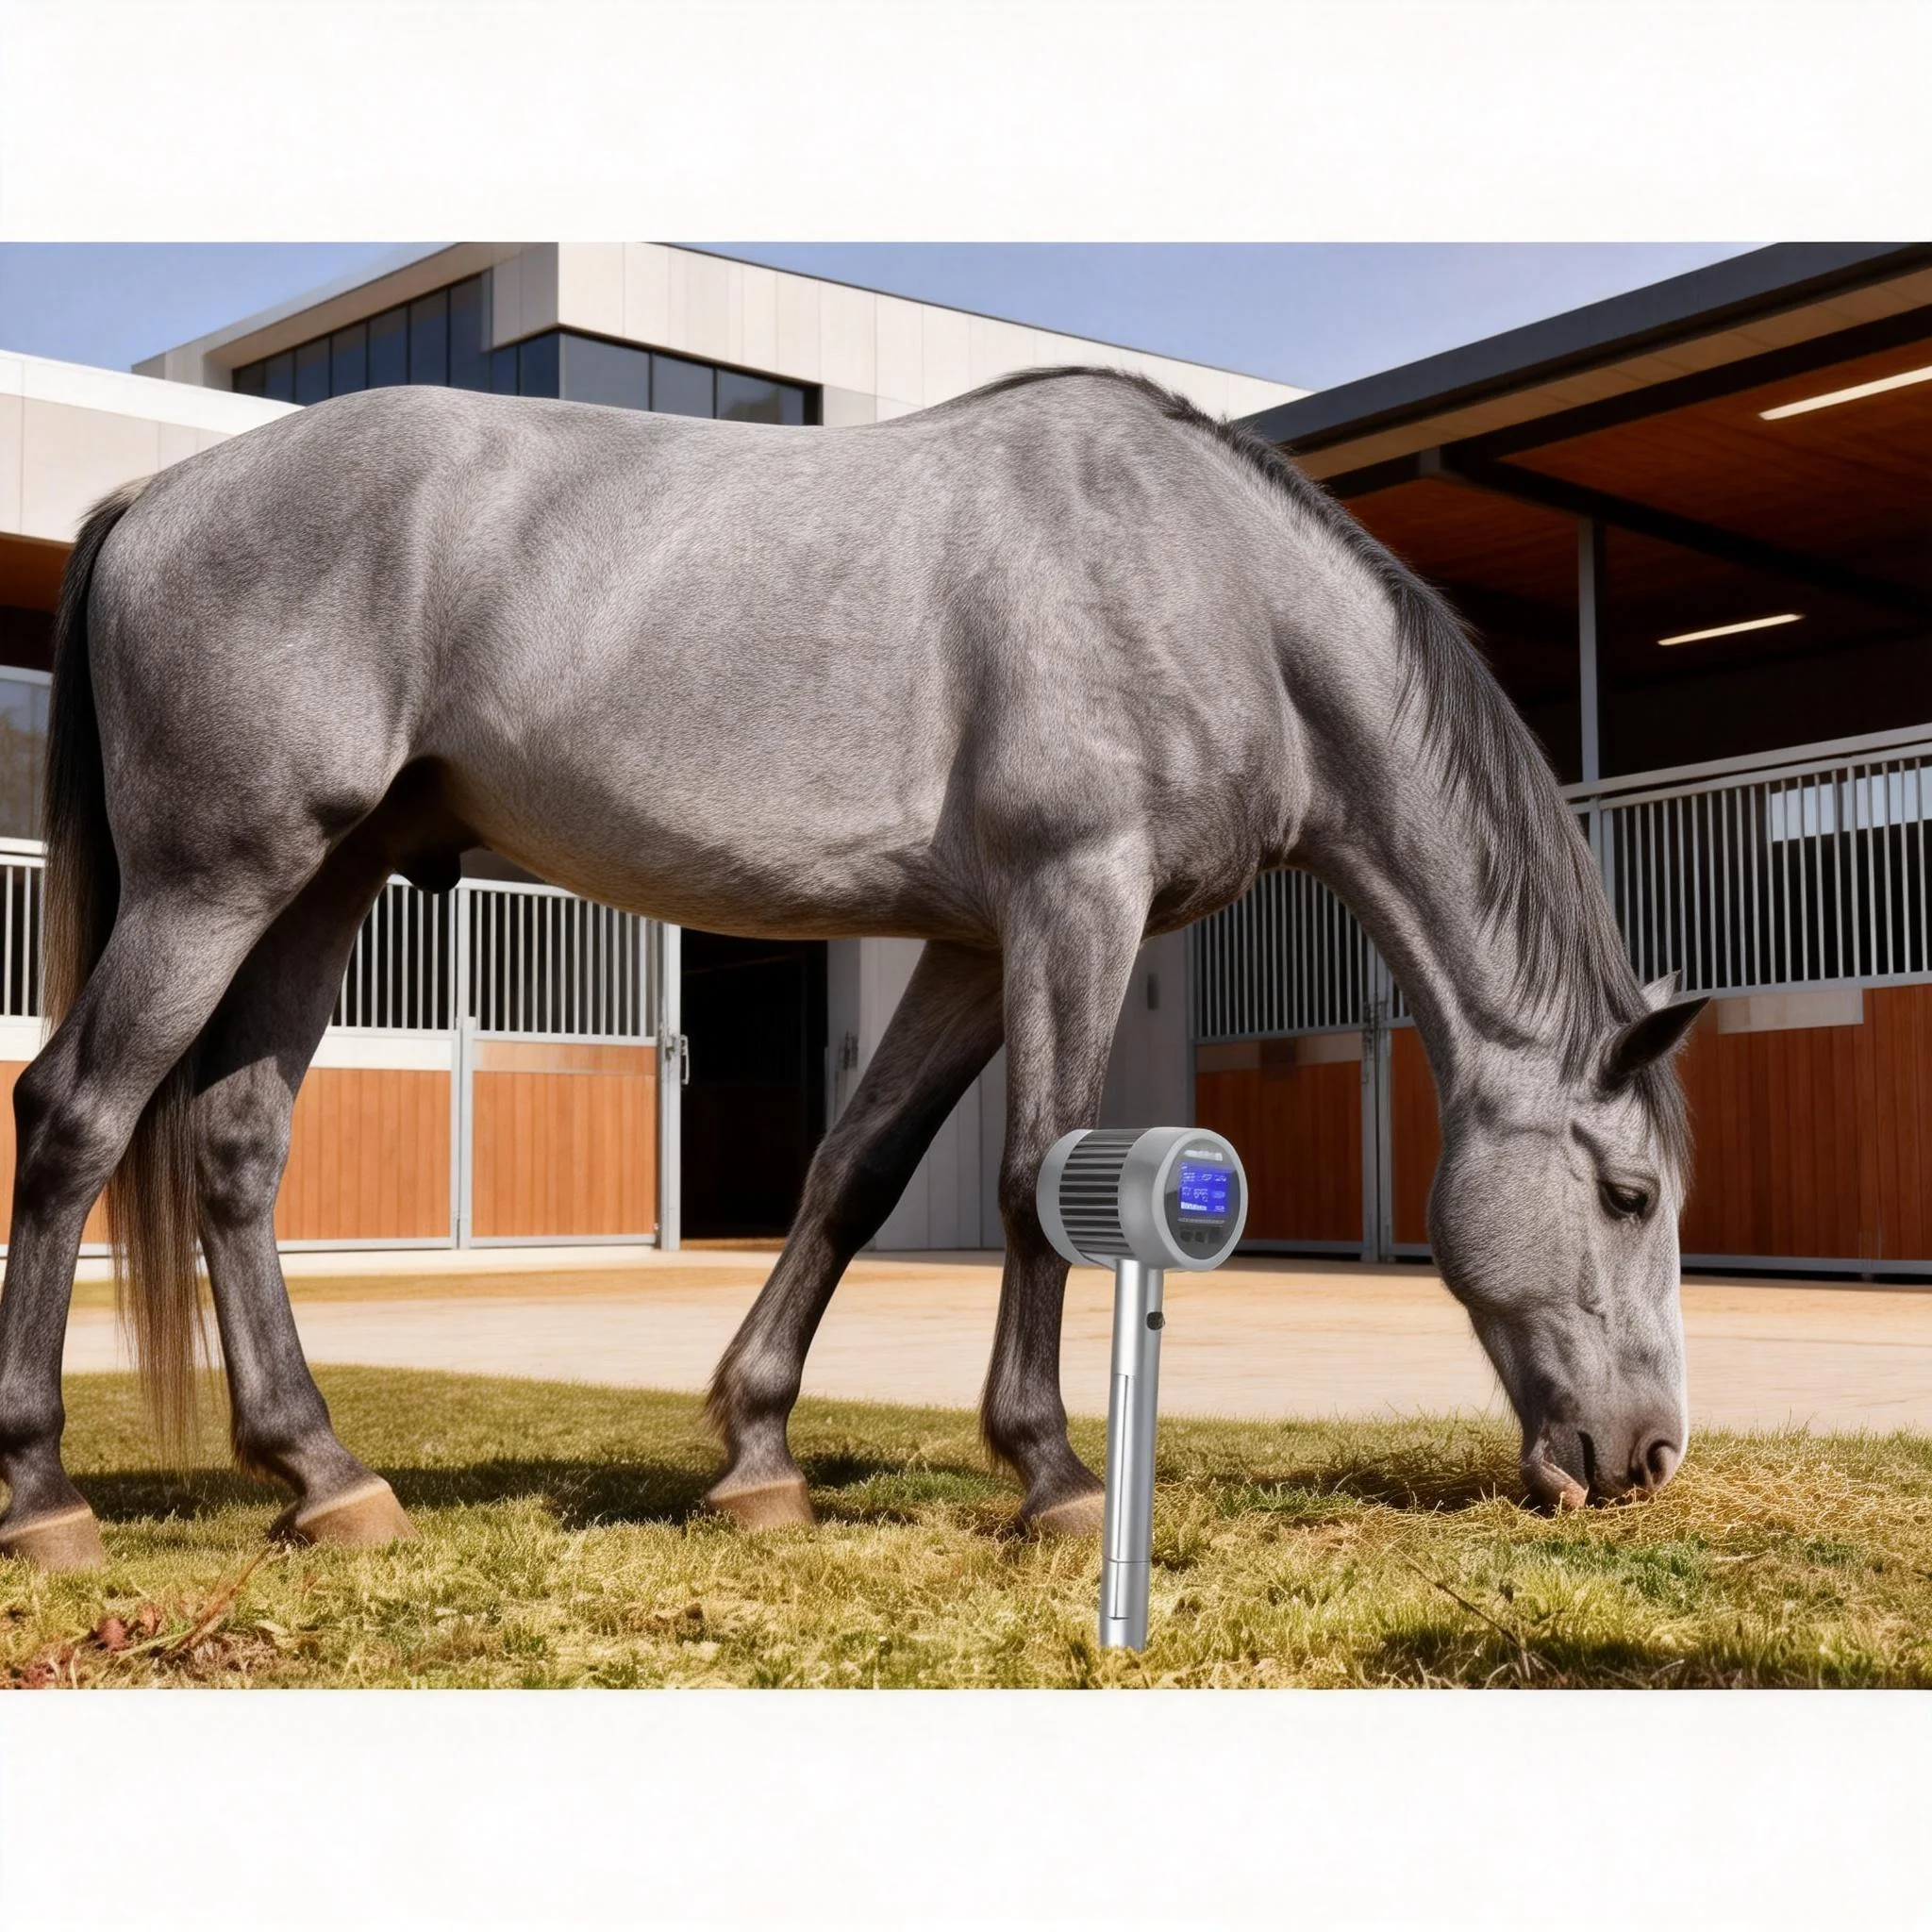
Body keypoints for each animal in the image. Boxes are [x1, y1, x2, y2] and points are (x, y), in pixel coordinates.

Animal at [0, 368, 1705, 1570]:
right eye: (1627, 1194)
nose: (1646, 1459)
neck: (1213, 588)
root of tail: (155, 492)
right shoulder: (1074, 896)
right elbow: (1038, 1173)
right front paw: (1051, 1473)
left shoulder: (967, 944)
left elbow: (857, 1170)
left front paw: (756, 1455)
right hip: (216, 882)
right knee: (76, 1115)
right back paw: (44, 1490)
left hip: (320, 884)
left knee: (233, 1147)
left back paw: (326, 1476)